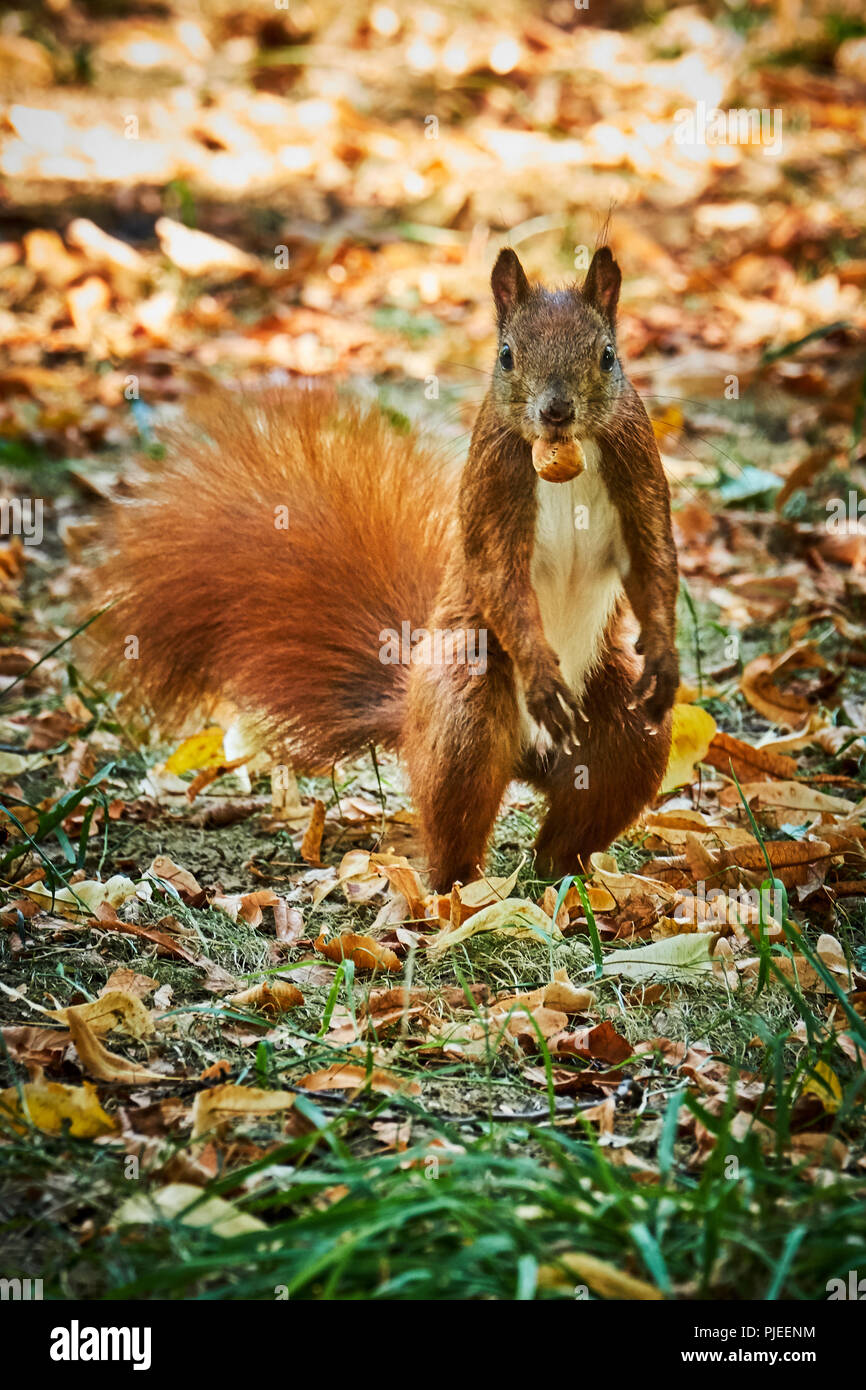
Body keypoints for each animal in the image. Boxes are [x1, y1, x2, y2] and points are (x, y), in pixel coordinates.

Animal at [93, 248, 678, 889]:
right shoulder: (492, 483)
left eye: (608, 355)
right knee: (456, 812)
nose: (556, 411)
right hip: (464, 708)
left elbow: (654, 558)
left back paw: (567, 880)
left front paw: (664, 656)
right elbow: (499, 577)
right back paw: (464, 893)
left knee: (593, 798)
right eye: (506, 355)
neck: (565, 457)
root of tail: (528, 757)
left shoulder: (638, 463)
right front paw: (543, 678)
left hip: (624, 726)